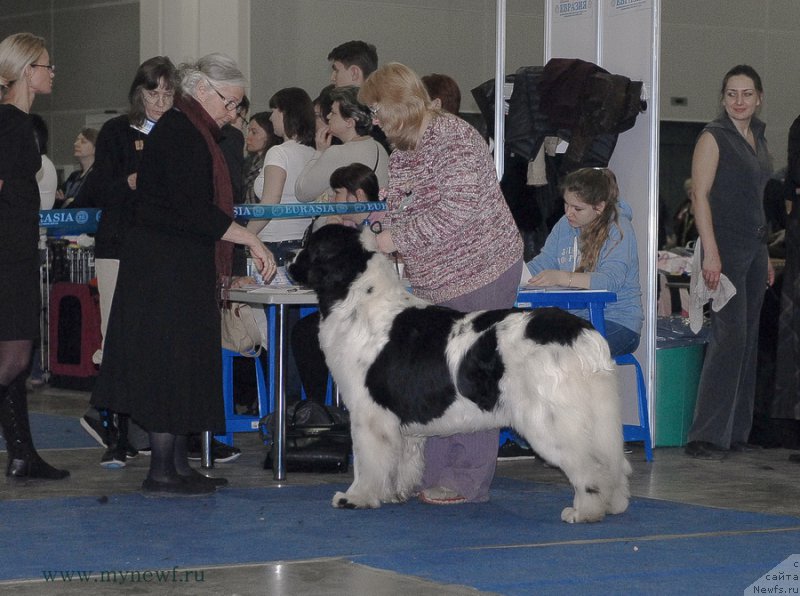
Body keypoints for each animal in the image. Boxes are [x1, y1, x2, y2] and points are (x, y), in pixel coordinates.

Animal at [288, 224, 632, 520]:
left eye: (309, 245)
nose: (289, 263)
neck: (358, 298)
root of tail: (580, 332)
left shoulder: (368, 414)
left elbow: (366, 460)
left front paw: (356, 497)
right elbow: (402, 459)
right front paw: (394, 493)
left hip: (549, 421)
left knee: (590, 466)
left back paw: (585, 511)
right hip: (597, 417)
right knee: (614, 463)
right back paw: (614, 504)